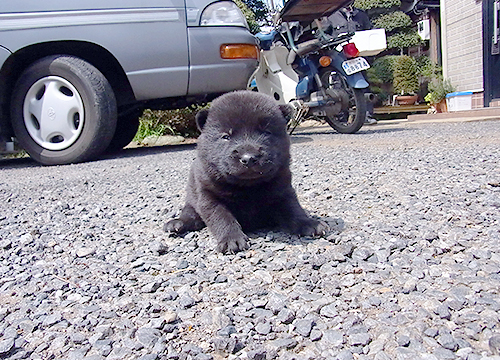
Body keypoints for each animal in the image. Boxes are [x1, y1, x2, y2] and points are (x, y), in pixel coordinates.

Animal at [164, 90, 328, 253]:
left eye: (266, 132)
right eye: (226, 136)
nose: (248, 158)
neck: (247, 187)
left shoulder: (283, 190)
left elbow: (293, 209)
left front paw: (310, 223)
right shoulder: (208, 195)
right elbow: (222, 217)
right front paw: (231, 239)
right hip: (192, 201)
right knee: (190, 215)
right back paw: (176, 224)